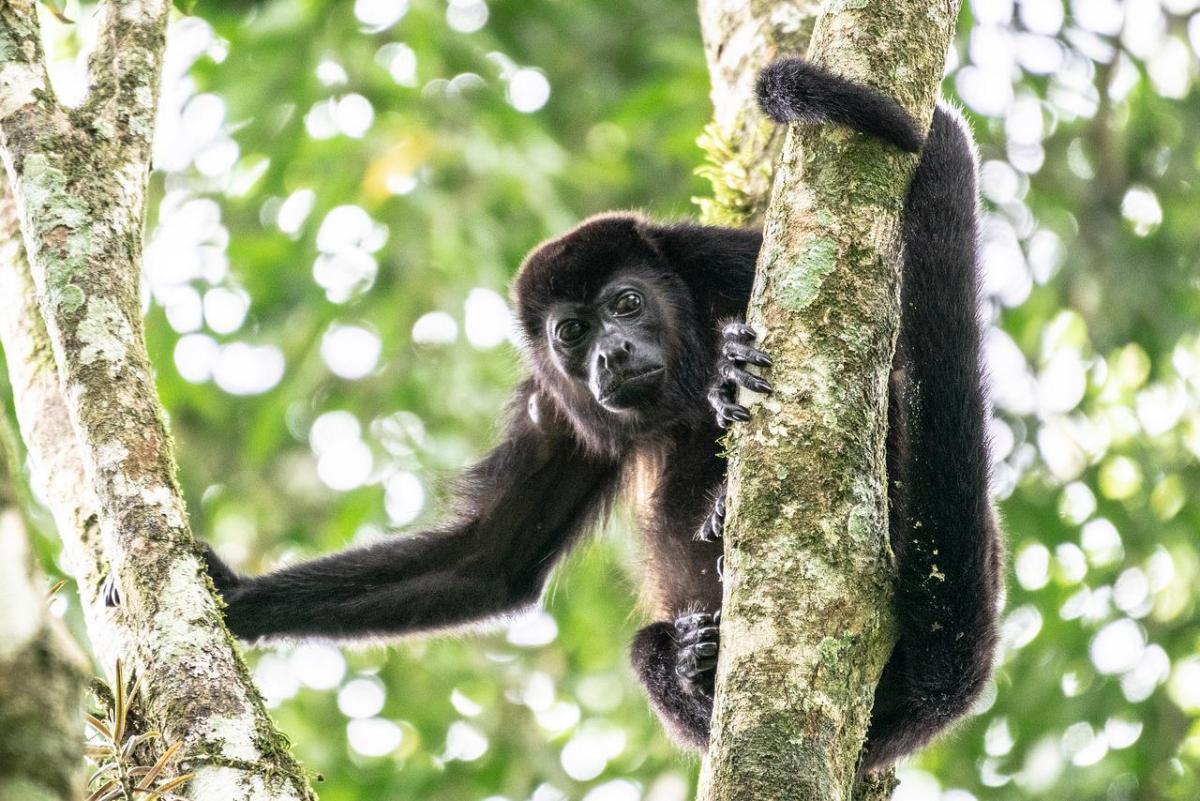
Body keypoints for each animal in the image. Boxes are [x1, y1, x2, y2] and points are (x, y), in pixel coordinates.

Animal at [199, 59, 1003, 772]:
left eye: (626, 303)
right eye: (572, 333)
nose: (611, 353)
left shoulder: (720, 257)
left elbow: (882, 358)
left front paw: (728, 378)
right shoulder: (558, 406)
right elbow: (489, 559)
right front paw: (237, 597)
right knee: (643, 648)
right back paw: (691, 659)